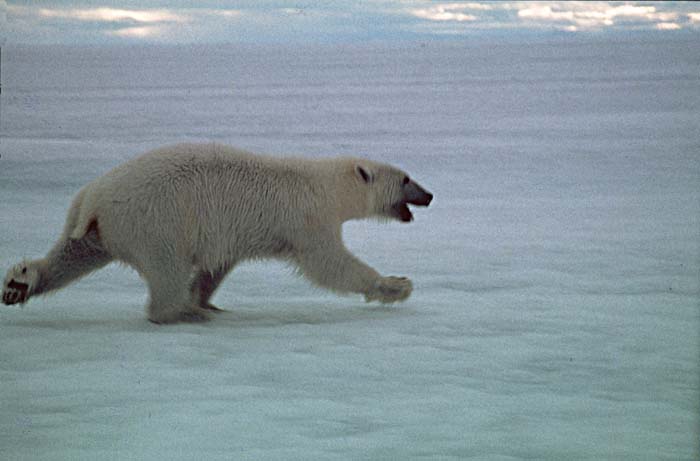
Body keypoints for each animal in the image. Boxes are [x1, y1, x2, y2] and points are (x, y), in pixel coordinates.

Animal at [1, 142, 432, 322]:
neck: (325, 186)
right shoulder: (308, 219)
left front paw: (207, 298)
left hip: (100, 227)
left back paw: (20, 283)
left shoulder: (231, 232)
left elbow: (217, 266)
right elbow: (328, 264)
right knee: (167, 267)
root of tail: (93, 196)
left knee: (71, 253)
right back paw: (182, 312)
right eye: (406, 178)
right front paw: (396, 285)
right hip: (155, 219)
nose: (429, 195)